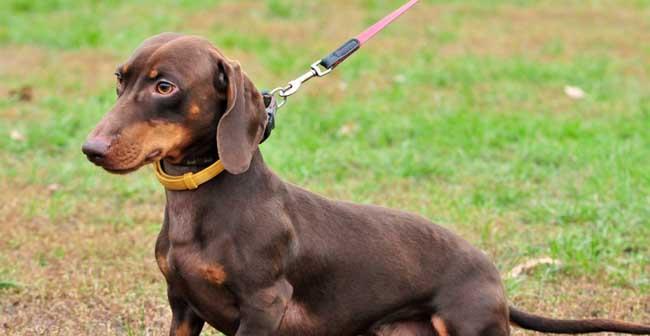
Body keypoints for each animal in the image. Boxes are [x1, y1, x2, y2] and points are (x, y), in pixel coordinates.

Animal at [82, 32, 648, 336]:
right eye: (120, 79)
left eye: (165, 86)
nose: (91, 148)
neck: (201, 205)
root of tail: (496, 282)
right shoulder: (181, 304)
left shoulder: (265, 304)